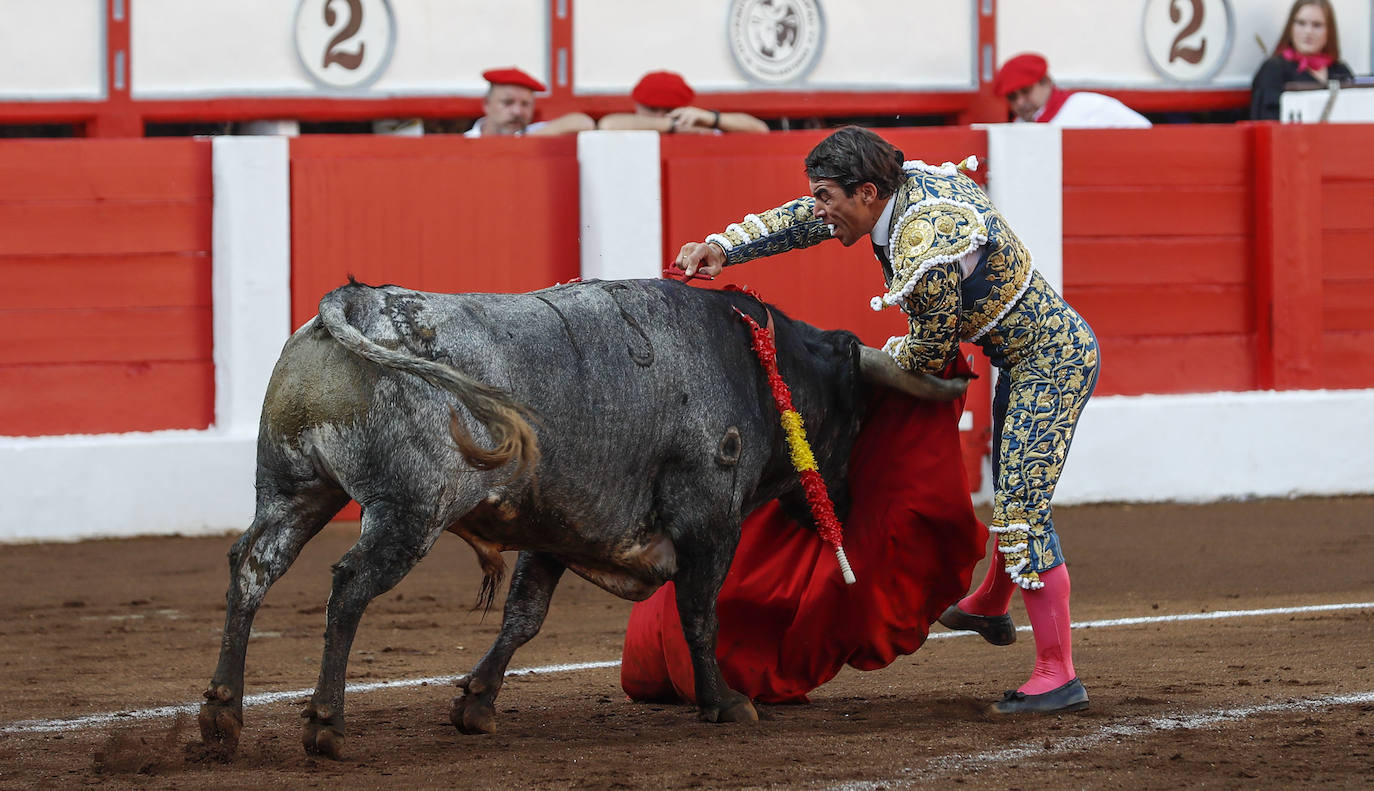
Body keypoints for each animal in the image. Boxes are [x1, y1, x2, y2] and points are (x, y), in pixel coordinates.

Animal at [196, 277, 967, 758]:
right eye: (856, 415)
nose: (839, 506)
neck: (753, 362)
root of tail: (357, 304)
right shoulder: (708, 520)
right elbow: (701, 614)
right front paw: (724, 701)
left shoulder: (558, 528)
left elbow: (524, 617)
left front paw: (476, 703)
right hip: (407, 512)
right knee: (349, 585)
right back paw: (325, 723)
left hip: (295, 489)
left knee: (253, 567)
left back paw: (222, 714)